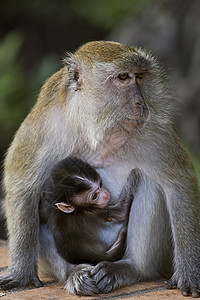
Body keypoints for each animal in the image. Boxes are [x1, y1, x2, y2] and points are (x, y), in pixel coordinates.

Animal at [0, 40, 200, 298]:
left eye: (139, 77)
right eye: (123, 77)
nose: (141, 103)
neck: (94, 126)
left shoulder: (154, 129)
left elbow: (178, 183)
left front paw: (190, 272)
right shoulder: (44, 125)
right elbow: (23, 184)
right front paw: (21, 273)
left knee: (152, 185)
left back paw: (130, 268)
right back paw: (75, 272)